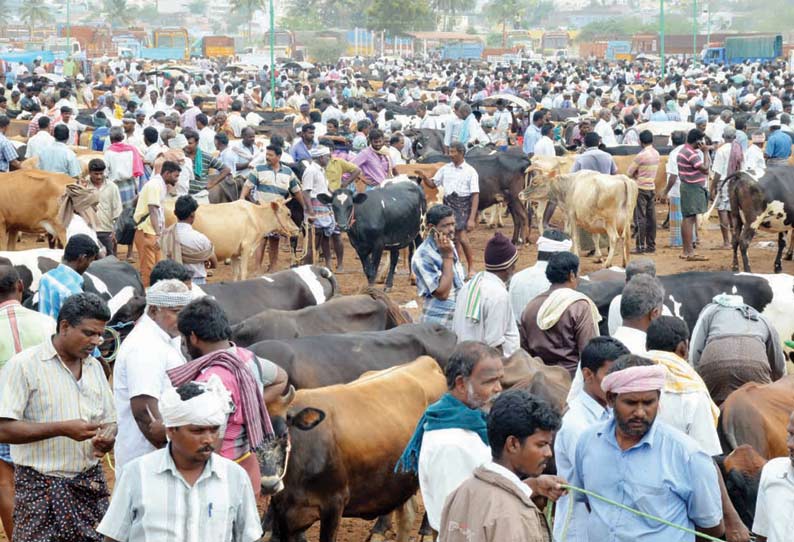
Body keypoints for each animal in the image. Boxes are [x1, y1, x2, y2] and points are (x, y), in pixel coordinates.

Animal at [260, 356, 446, 542]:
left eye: (284, 433)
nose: (269, 484)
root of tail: (426, 361)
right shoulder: (284, 514)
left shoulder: (334, 503)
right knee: (407, 514)